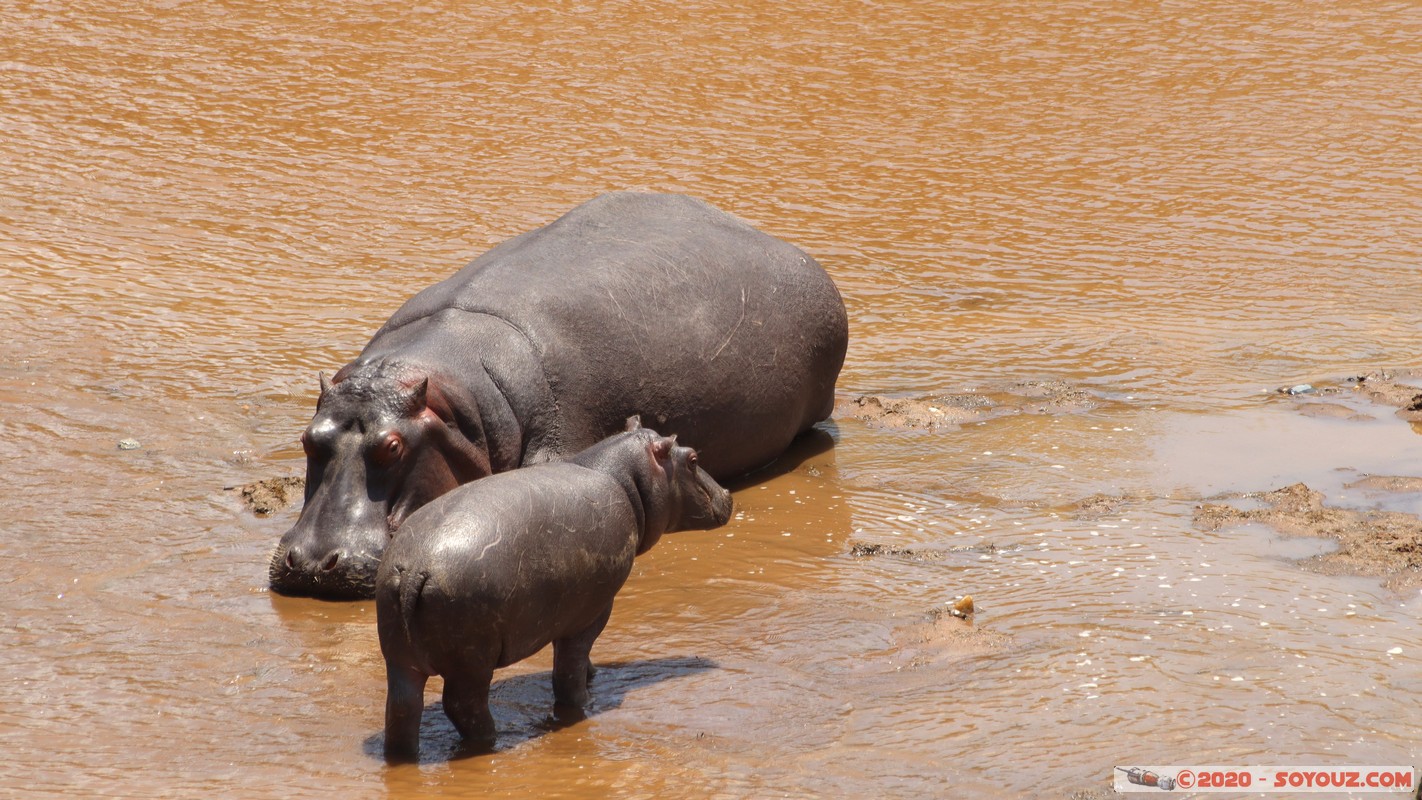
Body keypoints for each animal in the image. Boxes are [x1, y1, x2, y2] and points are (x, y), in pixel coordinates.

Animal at [376, 419, 733, 760]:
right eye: (693, 459)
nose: (729, 493)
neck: (621, 476)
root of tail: (416, 568)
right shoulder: (592, 611)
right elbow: (569, 668)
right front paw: (584, 701)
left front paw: (593, 674)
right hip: (472, 660)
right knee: (462, 705)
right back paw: (493, 739)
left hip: (400, 659)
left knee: (402, 709)